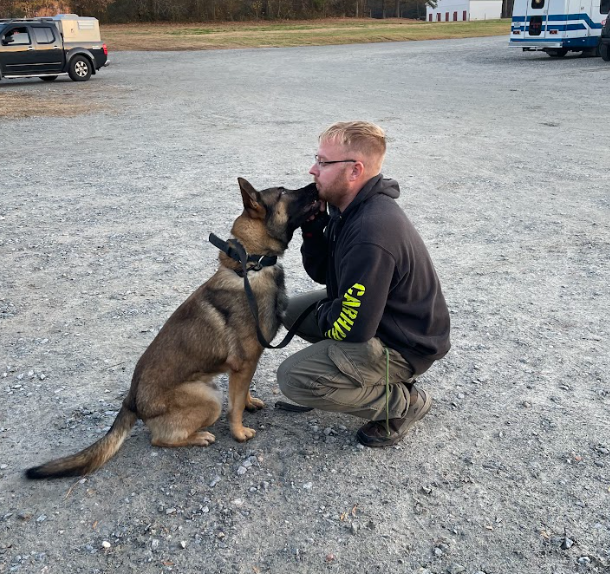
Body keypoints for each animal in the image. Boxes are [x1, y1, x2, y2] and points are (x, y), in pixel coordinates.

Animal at [25, 179, 318, 482]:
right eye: (283, 192)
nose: (314, 185)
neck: (252, 265)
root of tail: (132, 400)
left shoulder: (247, 365)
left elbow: (243, 393)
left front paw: (249, 402)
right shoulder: (243, 363)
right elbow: (234, 407)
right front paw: (238, 432)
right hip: (210, 398)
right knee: (159, 439)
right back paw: (198, 437)